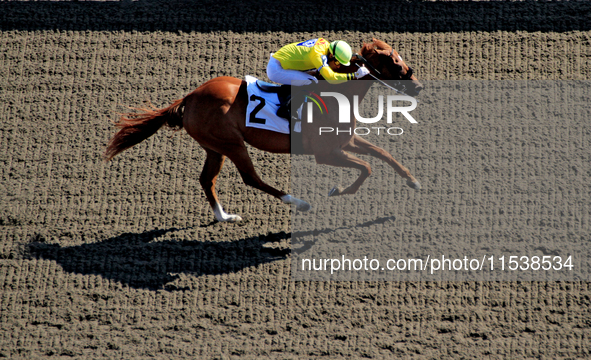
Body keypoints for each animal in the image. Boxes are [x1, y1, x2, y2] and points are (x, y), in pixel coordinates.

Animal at [104, 38, 424, 221]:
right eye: (395, 63)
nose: (418, 86)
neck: (338, 93)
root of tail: (190, 97)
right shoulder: (324, 153)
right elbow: (366, 168)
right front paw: (338, 190)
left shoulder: (344, 142)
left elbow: (381, 154)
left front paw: (413, 181)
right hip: (232, 144)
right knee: (251, 178)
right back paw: (299, 202)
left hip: (214, 147)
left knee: (207, 179)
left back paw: (224, 217)